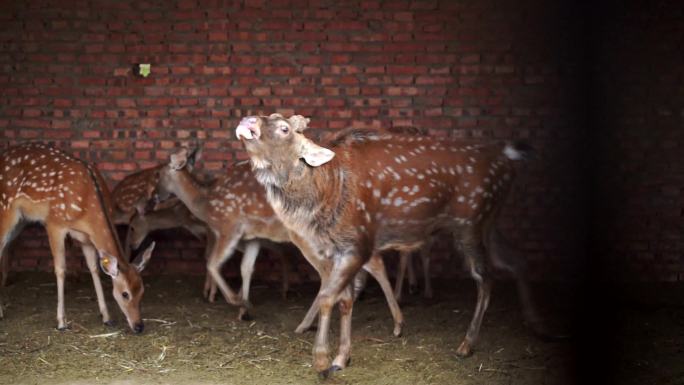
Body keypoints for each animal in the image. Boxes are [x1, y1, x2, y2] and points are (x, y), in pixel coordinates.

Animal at [0, 142, 155, 332]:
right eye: (125, 294)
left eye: (142, 291)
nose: (139, 326)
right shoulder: (54, 223)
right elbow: (60, 269)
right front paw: (61, 322)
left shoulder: (85, 238)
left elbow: (94, 269)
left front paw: (107, 317)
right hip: (5, 209)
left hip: (20, 220)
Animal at [235, 113, 544, 376]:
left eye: (284, 128)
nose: (247, 120)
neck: (325, 194)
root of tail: (507, 156)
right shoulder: (334, 252)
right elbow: (345, 299)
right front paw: (341, 358)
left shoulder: (358, 242)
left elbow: (327, 297)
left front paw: (322, 361)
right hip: (489, 222)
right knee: (516, 259)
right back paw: (532, 322)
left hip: (471, 221)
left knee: (485, 277)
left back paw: (466, 344)